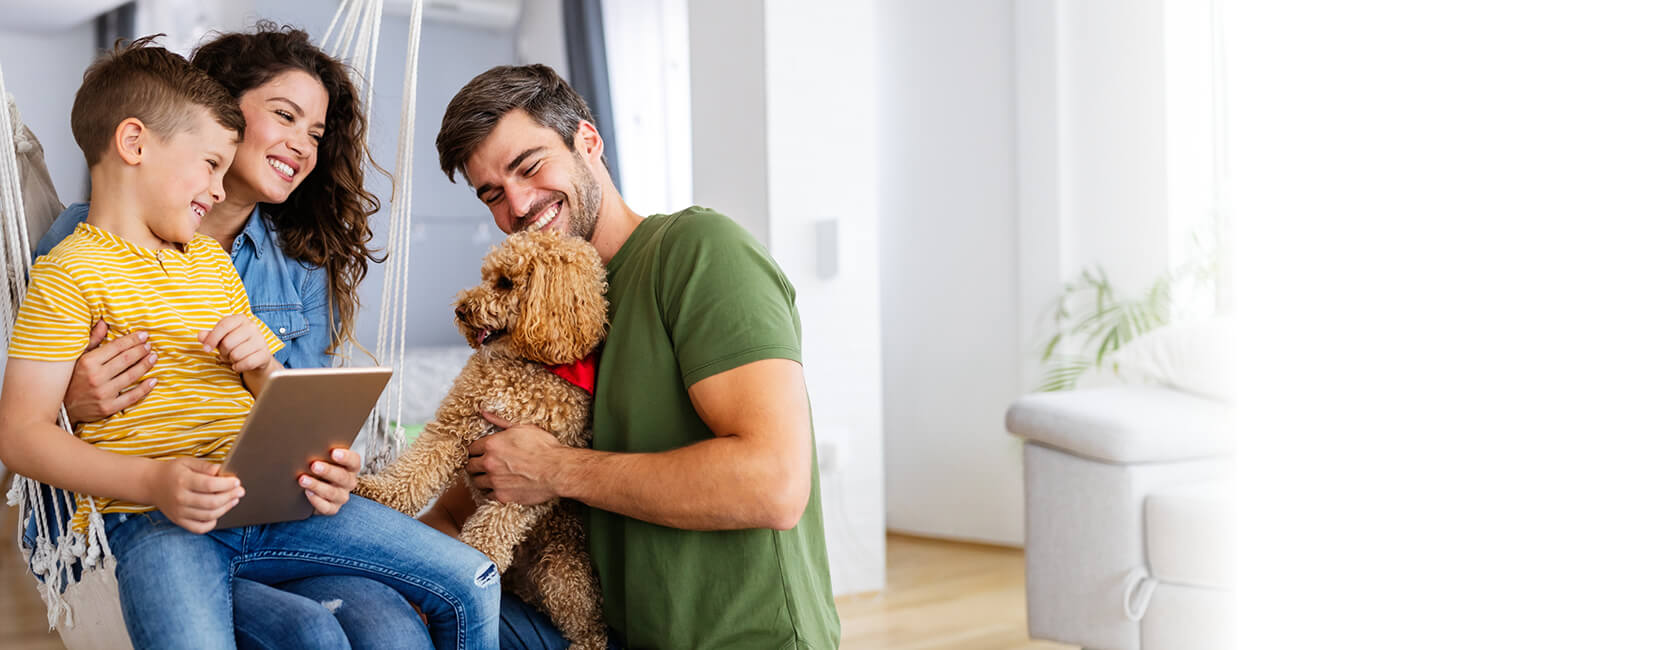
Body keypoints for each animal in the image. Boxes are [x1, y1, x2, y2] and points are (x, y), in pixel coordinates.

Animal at [354, 231, 611, 648]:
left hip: (563, 573)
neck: (524, 364)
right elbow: (414, 471)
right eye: (486, 276)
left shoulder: (526, 476)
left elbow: (492, 528)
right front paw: (379, 491)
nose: (461, 310)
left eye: (506, 283)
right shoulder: (454, 427)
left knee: (590, 626)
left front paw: (473, 557)